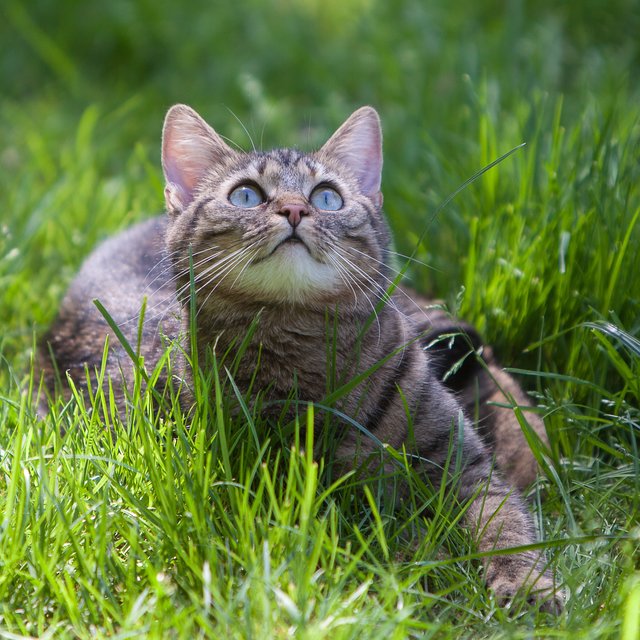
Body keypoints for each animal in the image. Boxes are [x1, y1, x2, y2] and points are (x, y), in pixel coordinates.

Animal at [38, 102, 560, 612]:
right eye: (246, 196)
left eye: (327, 197)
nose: (294, 208)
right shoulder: (301, 493)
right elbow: (405, 542)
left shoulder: (462, 462)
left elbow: (506, 524)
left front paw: (529, 585)